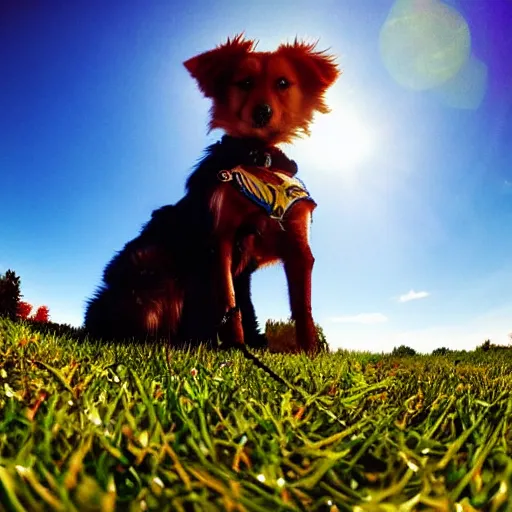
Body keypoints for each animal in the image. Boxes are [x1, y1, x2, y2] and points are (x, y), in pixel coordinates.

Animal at [84, 34, 340, 354]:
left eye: (283, 83)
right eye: (244, 82)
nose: (262, 111)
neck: (258, 158)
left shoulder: (296, 243)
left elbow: (301, 307)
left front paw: (309, 354)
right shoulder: (220, 239)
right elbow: (229, 301)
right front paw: (235, 348)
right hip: (150, 261)